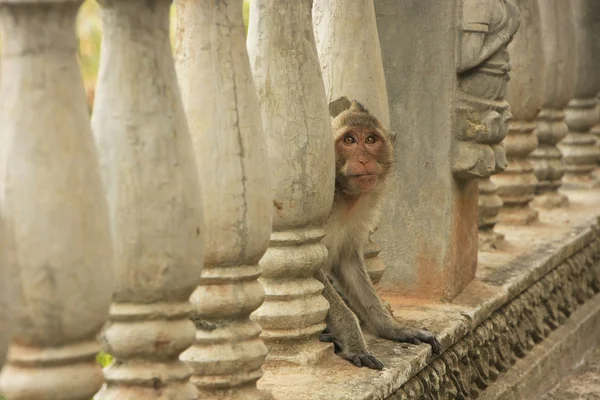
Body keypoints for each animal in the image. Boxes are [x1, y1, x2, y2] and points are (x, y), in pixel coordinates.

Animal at [318, 96, 440, 368]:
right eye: (349, 140)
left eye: (371, 140)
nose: (364, 159)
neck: (345, 197)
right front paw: (354, 341)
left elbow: (349, 264)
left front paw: (393, 328)